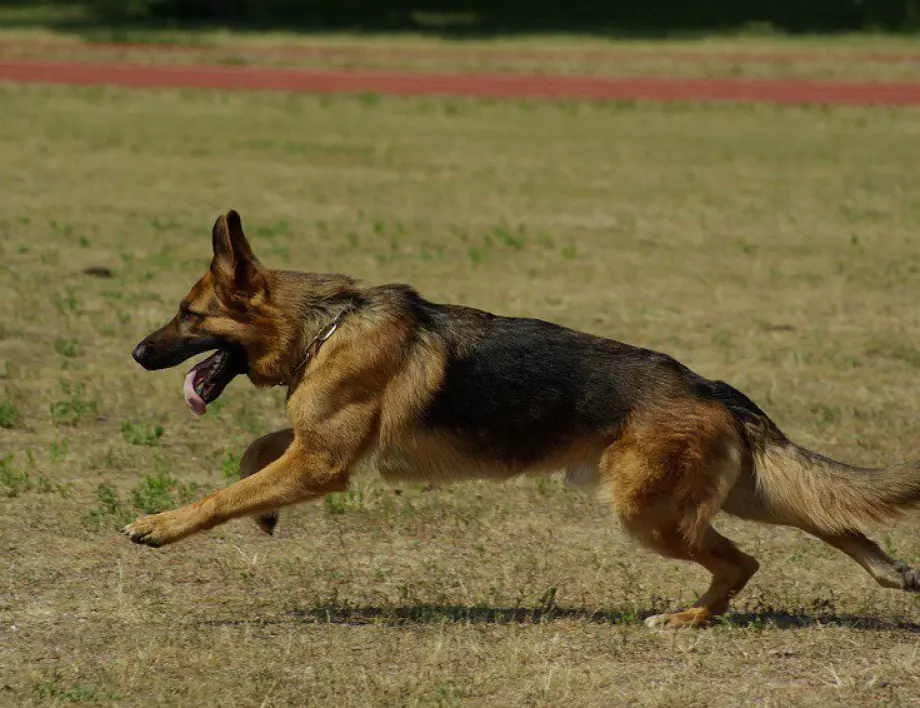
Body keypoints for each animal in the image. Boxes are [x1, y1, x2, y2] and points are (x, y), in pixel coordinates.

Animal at [127, 209, 920, 624]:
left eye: (188, 316)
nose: (136, 353)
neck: (326, 322)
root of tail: (709, 386)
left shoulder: (323, 463)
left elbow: (223, 494)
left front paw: (160, 526)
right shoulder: (317, 446)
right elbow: (253, 457)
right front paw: (263, 512)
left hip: (653, 514)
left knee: (744, 561)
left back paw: (687, 619)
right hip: (734, 494)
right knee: (834, 518)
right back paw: (891, 574)